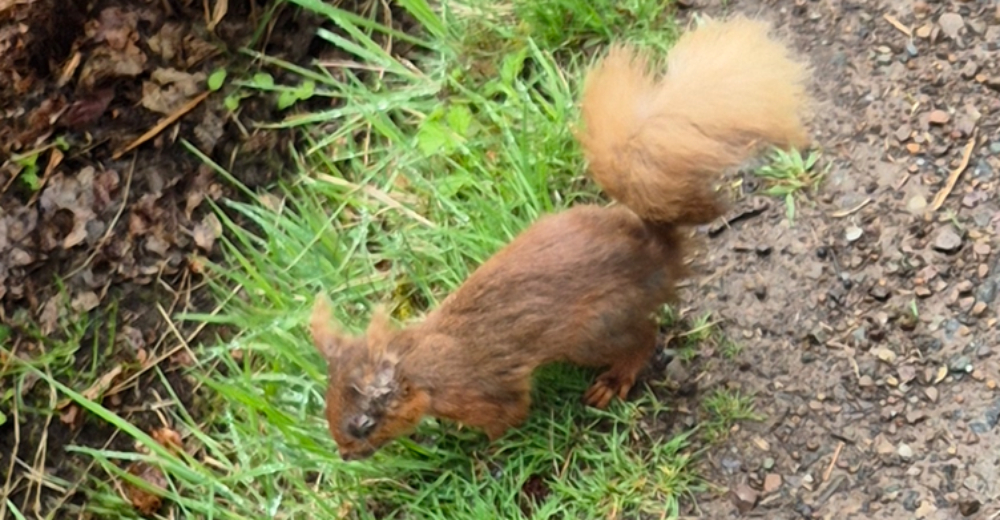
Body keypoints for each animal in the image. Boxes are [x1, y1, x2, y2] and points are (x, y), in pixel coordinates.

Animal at [309, 16, 812, 461]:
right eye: (327, 409)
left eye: (363, 423)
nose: (345, 456)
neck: (421, 363)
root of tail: (656, 251)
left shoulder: (484, 391)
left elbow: (508, 416)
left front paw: (480, 454)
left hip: (597, 329)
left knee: (645, 337)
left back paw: (613, 381)